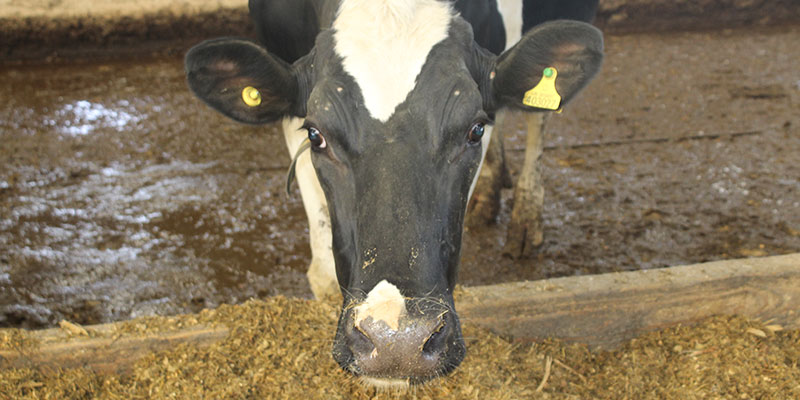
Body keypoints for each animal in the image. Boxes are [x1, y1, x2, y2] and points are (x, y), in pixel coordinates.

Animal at [185, 0, 602, 388]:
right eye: (316, 136)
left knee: (540, 114)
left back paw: (526, 217)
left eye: (474, 130)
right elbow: (322, 271)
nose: (397, 343)